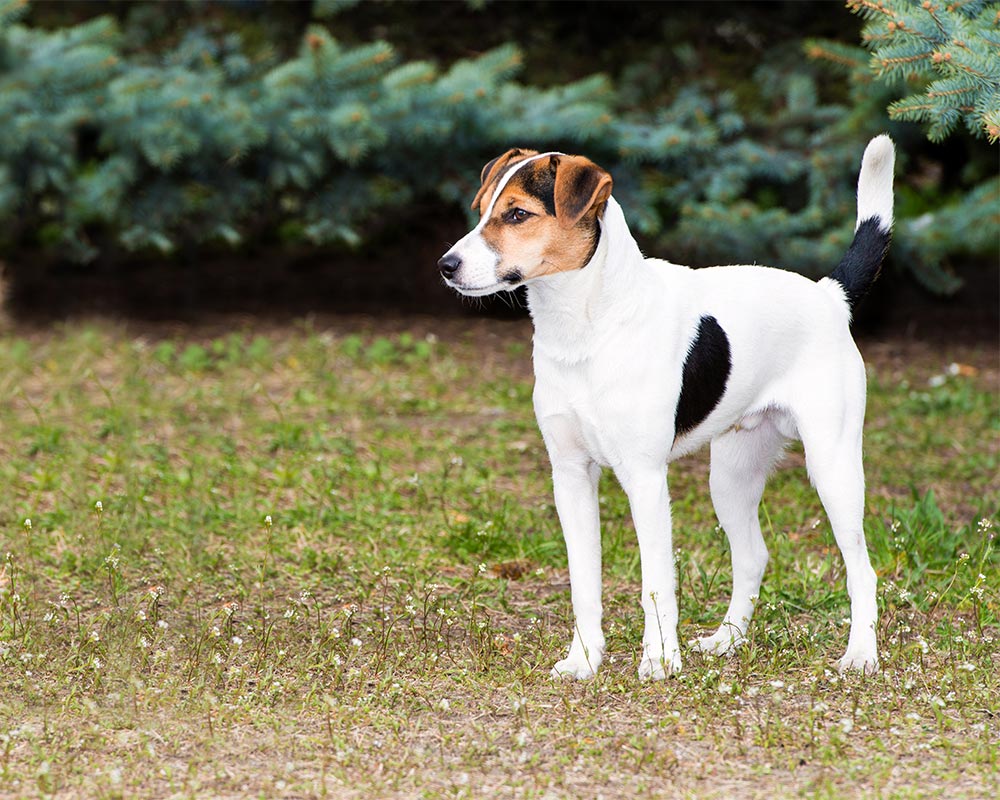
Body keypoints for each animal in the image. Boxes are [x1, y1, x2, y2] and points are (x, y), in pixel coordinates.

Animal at [436, 134, 892, 680]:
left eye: (518, 214)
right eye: (482, 210)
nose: (446, 265)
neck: (587, 329)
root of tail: (829, 296)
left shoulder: (645, 479)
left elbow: (656, 582)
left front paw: (659, 660)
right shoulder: (570, 475)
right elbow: (583, 582)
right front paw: (584, 658)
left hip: (833, 466)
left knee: (862, 569)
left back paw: (861, 653)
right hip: (731, 477)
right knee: (753, 556)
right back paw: (726, 640)